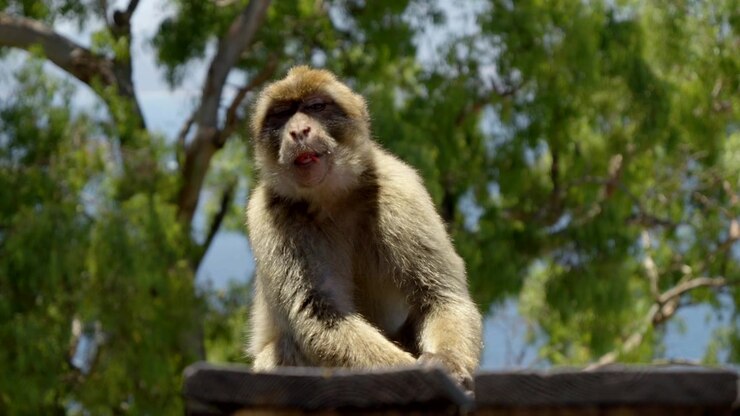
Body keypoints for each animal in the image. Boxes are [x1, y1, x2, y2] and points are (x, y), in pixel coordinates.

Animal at [245, 66, 482, 389]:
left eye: (316, 107)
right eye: (282, 114)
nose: (298, 131)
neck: (332, 198)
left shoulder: (400, 188)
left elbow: (440, 295)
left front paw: (448, 362)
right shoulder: (270, 213)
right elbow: (319, 314)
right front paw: (415, 373)